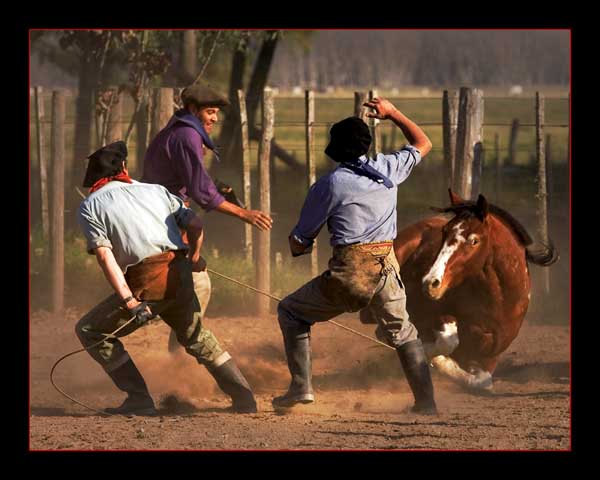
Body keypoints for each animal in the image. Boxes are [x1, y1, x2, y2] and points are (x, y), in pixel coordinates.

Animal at [392, 188, 556, 390]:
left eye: (474, 241)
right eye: (444, 232)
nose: (431, 283)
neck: (498, 302)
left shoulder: (491, 355)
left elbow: (481, 381)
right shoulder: (427, 313)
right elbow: (447, 340)